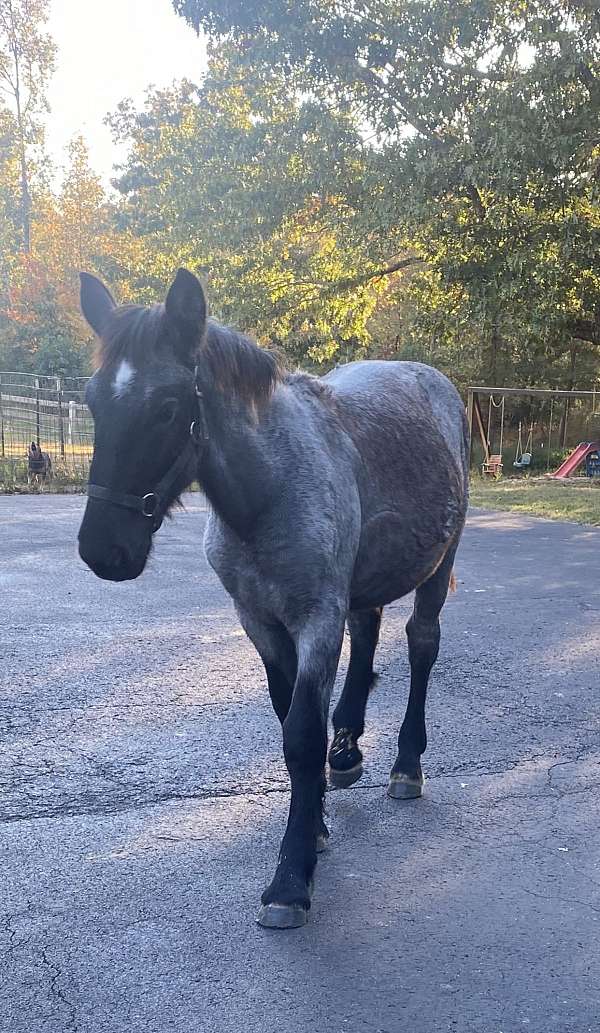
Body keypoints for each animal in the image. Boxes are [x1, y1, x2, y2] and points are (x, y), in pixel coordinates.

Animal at [78, 266, 468, 929]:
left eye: (167, 408)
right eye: (91, 401)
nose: (102, 550)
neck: (267, 495)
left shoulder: (315, 619)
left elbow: (300, 736)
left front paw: (291, 878)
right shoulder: (259, 622)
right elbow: (291, 720)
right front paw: (315, 826)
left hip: (438, 568)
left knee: (421, 646)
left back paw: (406, 765)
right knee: (367, 633)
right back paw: (348, 751)